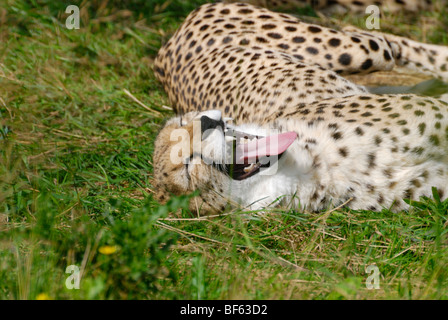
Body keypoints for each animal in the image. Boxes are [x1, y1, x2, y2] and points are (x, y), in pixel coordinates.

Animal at [151, 2, 448, 214]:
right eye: (186, 170)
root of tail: (163, 52)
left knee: (388, 43)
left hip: (361, 51)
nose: (207, 121)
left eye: (183, 122)